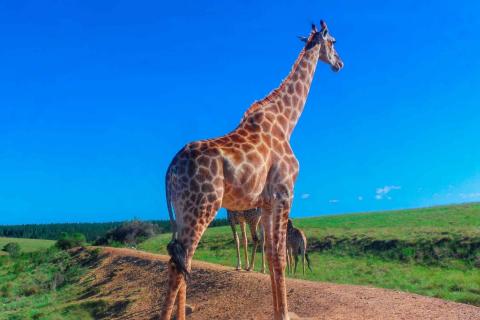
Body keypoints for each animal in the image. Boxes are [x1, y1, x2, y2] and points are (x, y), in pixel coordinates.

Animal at [160, 21, 342, 318]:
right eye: (334, 42)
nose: (340, 63)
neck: (286, 121)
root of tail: (169, 171)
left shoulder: (266, 202)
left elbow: (270, 252)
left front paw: (278, 310)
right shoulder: (284, 194)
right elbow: (279, 255)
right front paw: (284, 313)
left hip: (182, 211)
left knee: (180, 260)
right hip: (202, 207)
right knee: (180, 262)